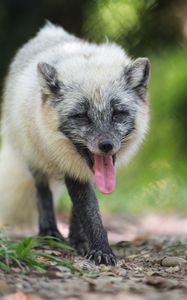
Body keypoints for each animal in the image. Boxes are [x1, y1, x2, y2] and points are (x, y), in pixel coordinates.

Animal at [0, 22, 149, 264]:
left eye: (118, 113)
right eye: (81, 116)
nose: (106, 145)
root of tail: (49, 30)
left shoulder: (84, 173)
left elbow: (81, 210)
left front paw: (83, 242)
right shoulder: (70, 168)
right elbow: (88, 212)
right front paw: (101, 250)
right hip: (34, 157)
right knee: (42, 193)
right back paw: (49, 233)